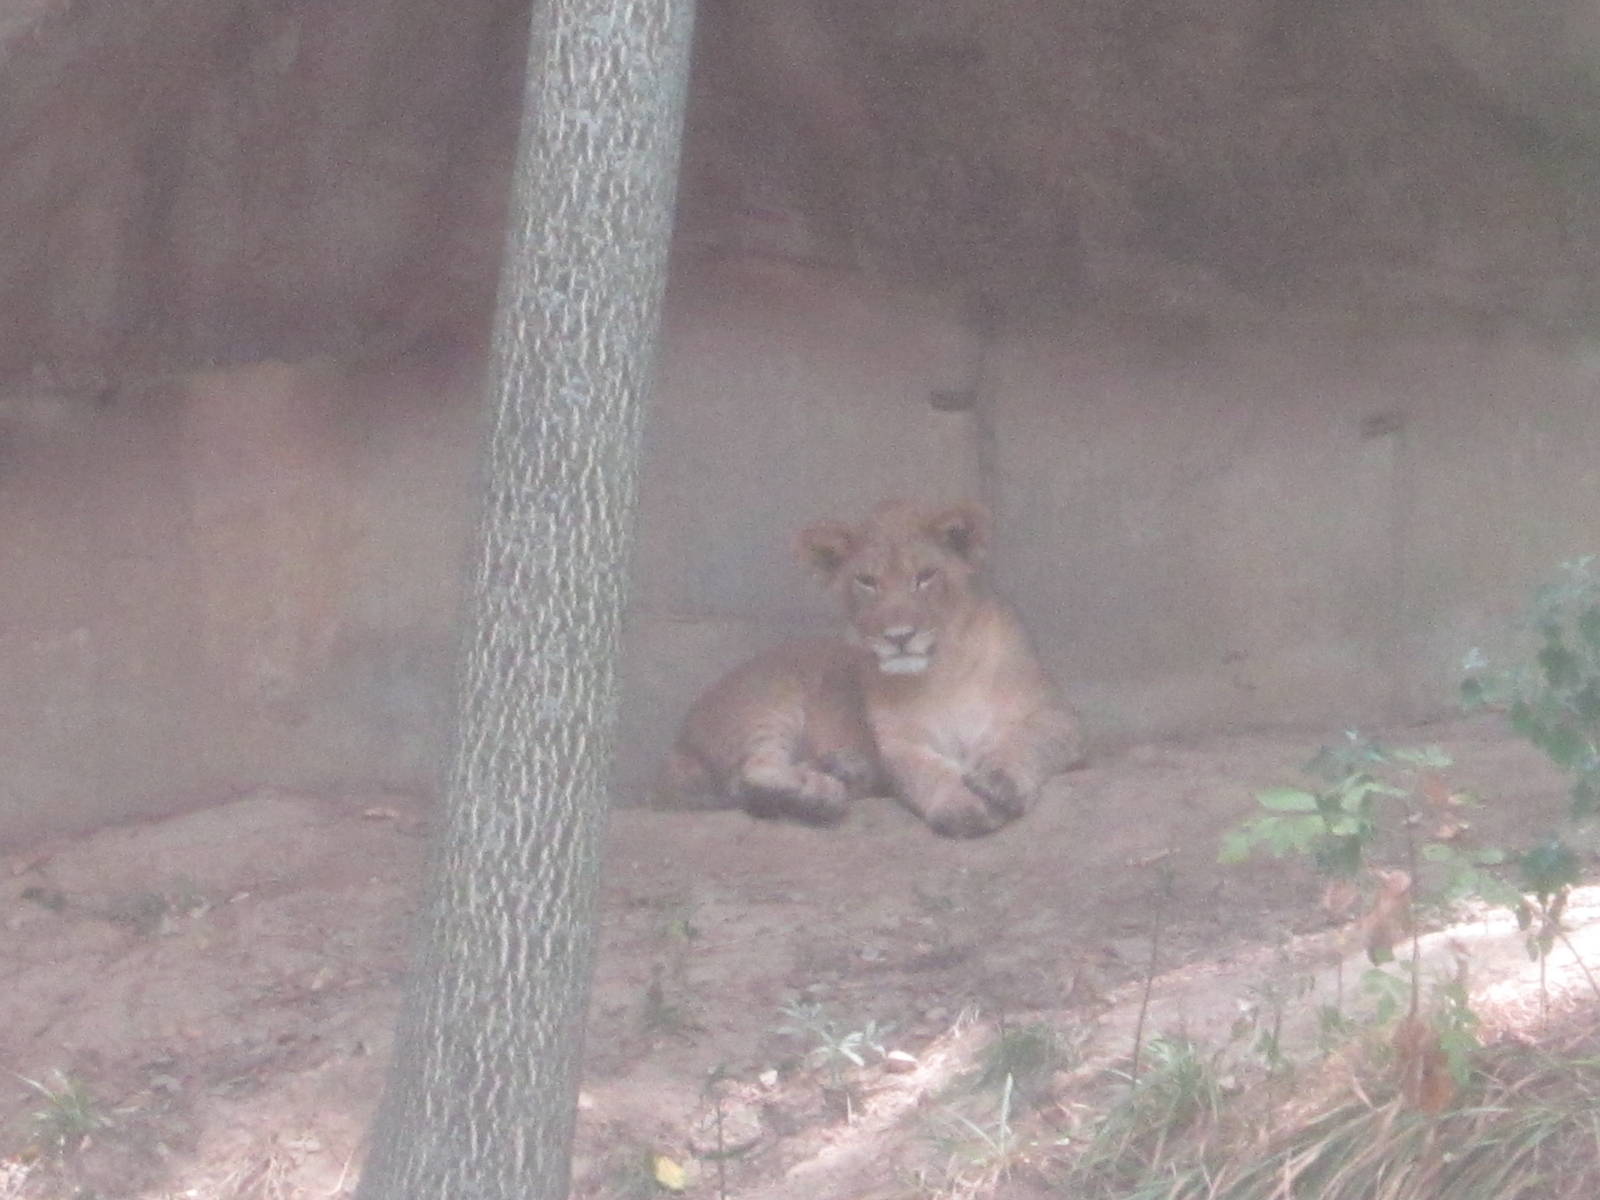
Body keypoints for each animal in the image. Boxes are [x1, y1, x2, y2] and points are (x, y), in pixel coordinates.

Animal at [657, 500, 1085, 837]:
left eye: (925, 576)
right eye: (866, 581)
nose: (898, 637)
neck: (943, 672)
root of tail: (678, 742)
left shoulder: (1057, 715)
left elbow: (1025, 741)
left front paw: (999, 780)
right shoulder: (899, 743)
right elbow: (924, 773)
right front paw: (961, 807)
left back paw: (845, 771)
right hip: (770, 702)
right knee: (752, 772)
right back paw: (820, 793)